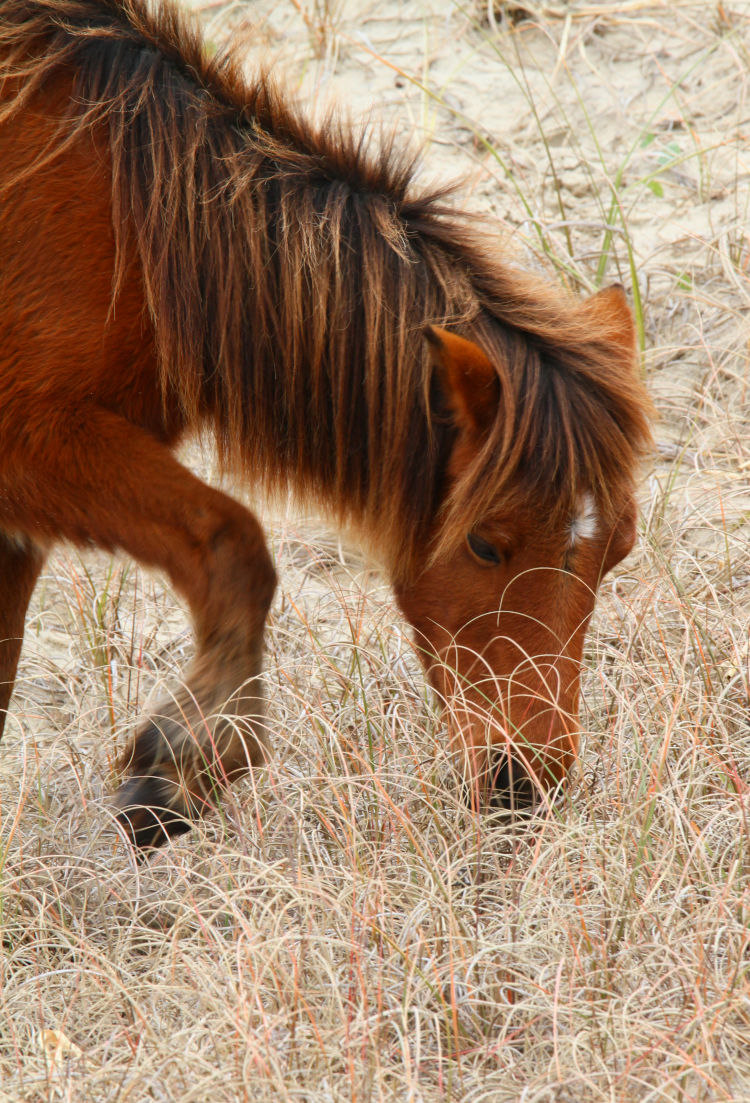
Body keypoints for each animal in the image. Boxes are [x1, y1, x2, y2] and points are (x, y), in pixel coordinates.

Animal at [0, 0, 652, 851]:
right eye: (486, 544)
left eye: (620, 549)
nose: (526, 782)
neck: (127, 223)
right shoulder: (35, 444)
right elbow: (235, 544)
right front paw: (181, 764)